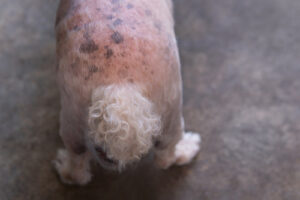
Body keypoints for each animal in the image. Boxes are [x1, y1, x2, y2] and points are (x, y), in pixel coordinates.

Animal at [54, 0, 200, 185]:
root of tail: (119, 88)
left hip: (73, 119)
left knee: (77, 166)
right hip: (172, 107)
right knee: (166, 156)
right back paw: (187, 149)